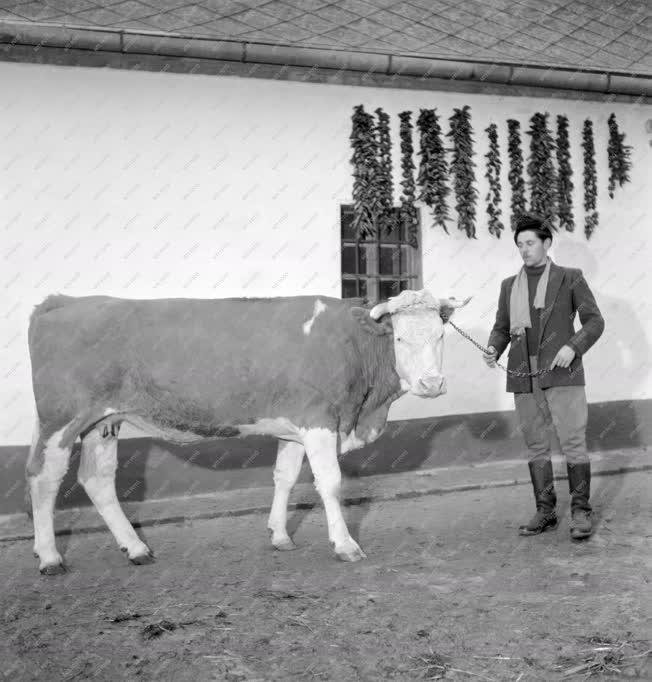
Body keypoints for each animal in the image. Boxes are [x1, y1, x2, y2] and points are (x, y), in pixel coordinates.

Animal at [26, 290, 468, 572]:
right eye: (400, 337)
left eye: (440, 335)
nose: (432, 384)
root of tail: (63, 301)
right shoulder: (319, 419)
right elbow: (329, 482)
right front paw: (344, 545)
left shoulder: (295, 425)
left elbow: (284, 477)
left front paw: (280, 535)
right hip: (60, 418)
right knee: (43, 476)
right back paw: (49, 556)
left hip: (103, 421)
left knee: (96, 479)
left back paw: (135, 548)